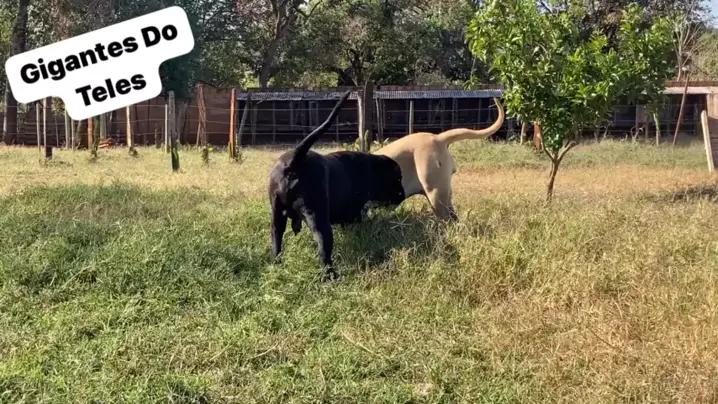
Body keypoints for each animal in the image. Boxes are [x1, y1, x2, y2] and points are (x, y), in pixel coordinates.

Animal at [268, 89, 404, 280]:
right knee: (323, 250)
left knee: (276, 239)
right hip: (318, 219)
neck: (370, 169)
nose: (403, 195)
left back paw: (276, 264)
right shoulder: (355, 212)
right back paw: (330, 275)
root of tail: (295, 159)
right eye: (398, 179)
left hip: (276, 217)